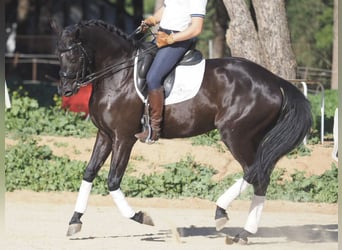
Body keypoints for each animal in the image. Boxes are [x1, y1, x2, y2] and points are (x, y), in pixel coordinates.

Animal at [51, 20, 312, 244]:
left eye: (73, 55)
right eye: (58, 54)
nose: (65, 89)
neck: (117, 76)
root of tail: (275, 81)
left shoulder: (123, 138)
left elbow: (113, 180)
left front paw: (141, 217)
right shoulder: (105, 135)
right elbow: (89, 173)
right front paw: (74, 222)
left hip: (236, 135)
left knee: (254, 172)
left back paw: (223, 215)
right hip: (250, 137)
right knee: (261, 175)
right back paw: (243, 233)